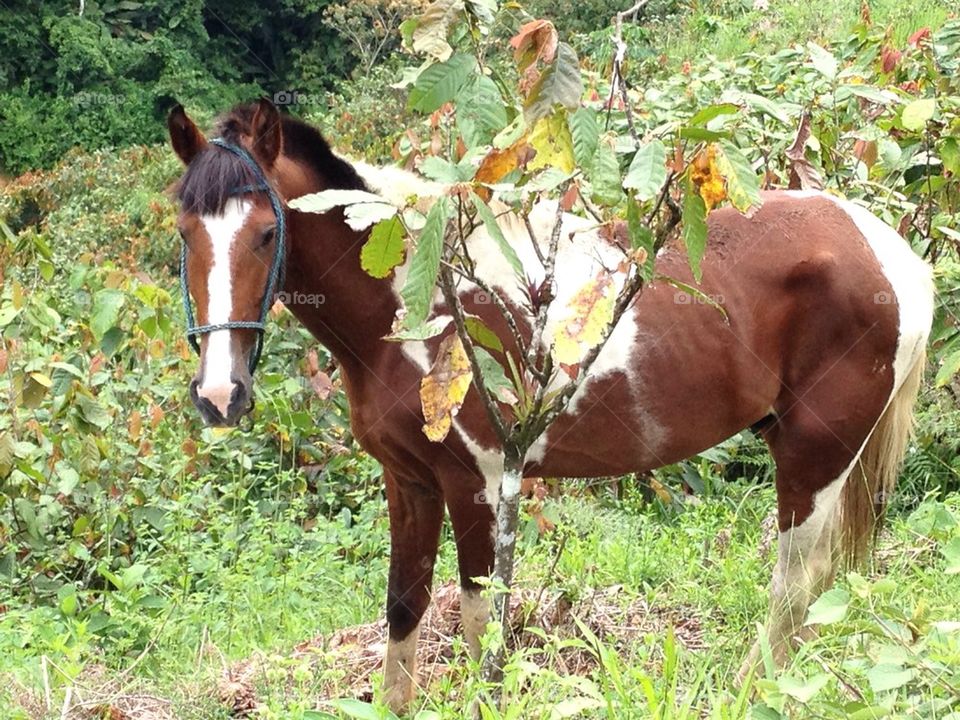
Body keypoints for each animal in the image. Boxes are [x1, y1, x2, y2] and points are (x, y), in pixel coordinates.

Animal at [166, 98, 934, 712]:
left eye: (267, 232)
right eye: (184, 232)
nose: (219, 395)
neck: (418, 303)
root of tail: (891, 252)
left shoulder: (478, 484)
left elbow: (481, 623)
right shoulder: (408, 481)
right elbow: (404, 606)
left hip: (818, 453)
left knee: (794, 582)